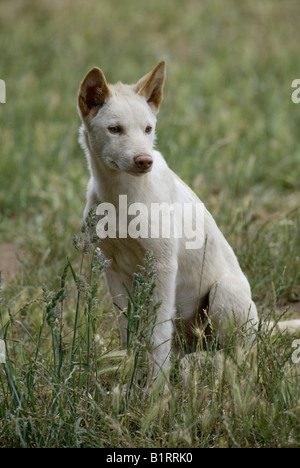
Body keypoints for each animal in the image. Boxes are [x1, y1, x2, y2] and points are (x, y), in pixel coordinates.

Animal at [77, 60, 300, 382]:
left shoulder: (164, 266)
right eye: (115, 129)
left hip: (225, 292)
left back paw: (206, 366)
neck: (121, 195)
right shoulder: (112, 269)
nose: (144, 161)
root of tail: (259, 326)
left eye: (148, 129)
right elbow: (128, 331)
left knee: (239, 357)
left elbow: (157, 337)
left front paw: (155, 389)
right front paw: (130, 375)